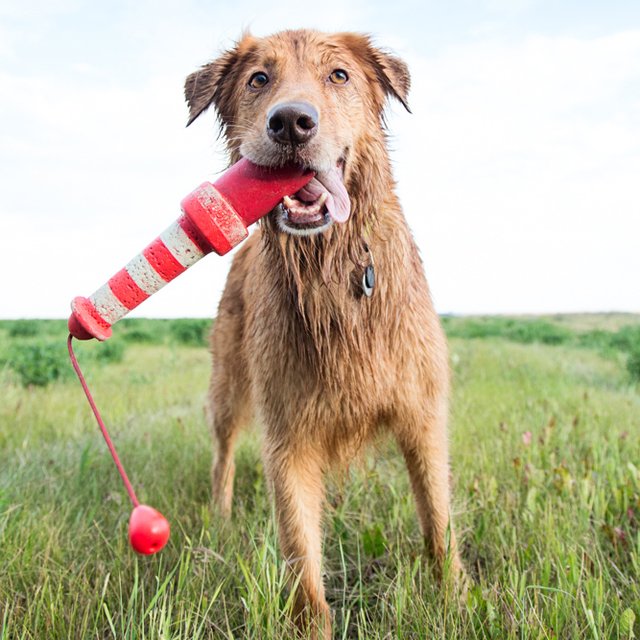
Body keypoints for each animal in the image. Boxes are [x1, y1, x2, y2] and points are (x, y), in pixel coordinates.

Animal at [185, 28, 464, 636]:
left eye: (339, 75)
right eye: (258, 79)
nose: (292, 122)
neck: (331, 268)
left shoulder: (422, 414)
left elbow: (437, 520)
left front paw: (456, 599)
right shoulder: (288, 433)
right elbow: (299, 547)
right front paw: (311, 623)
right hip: (228, 386)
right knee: (221, 454)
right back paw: (219, 515)